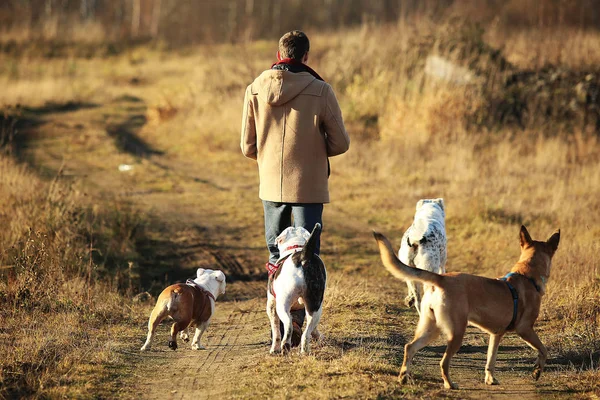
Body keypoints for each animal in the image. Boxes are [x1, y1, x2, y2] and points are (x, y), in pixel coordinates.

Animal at [372, 227, 560, 390]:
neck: (527, 276)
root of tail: (441, 279)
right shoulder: (525, 329)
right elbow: (543, 350)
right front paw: (537, 371)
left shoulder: (496, 334)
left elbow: (490, 361)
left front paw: (490, 379)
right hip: (456, 332)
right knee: (443, 362)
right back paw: (449, 384)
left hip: (431, 328)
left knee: (409, 347)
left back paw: (403, 377)